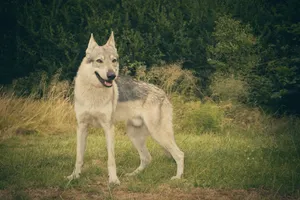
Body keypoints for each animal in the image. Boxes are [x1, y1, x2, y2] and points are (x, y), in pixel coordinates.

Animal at [67, 31, 185, 184]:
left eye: (114, 61)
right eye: (99, 61)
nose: (112, 75)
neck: (94, 92)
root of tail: (163, 93)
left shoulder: (108, 128)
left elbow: (111, 160)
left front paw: (113, 181)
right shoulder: (81, 127)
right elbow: (79, 157)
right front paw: (74, 176)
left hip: (158, 134)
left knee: (179, 154)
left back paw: (178, 177)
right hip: (134, 134)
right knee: (147, 158)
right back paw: (133, 175)